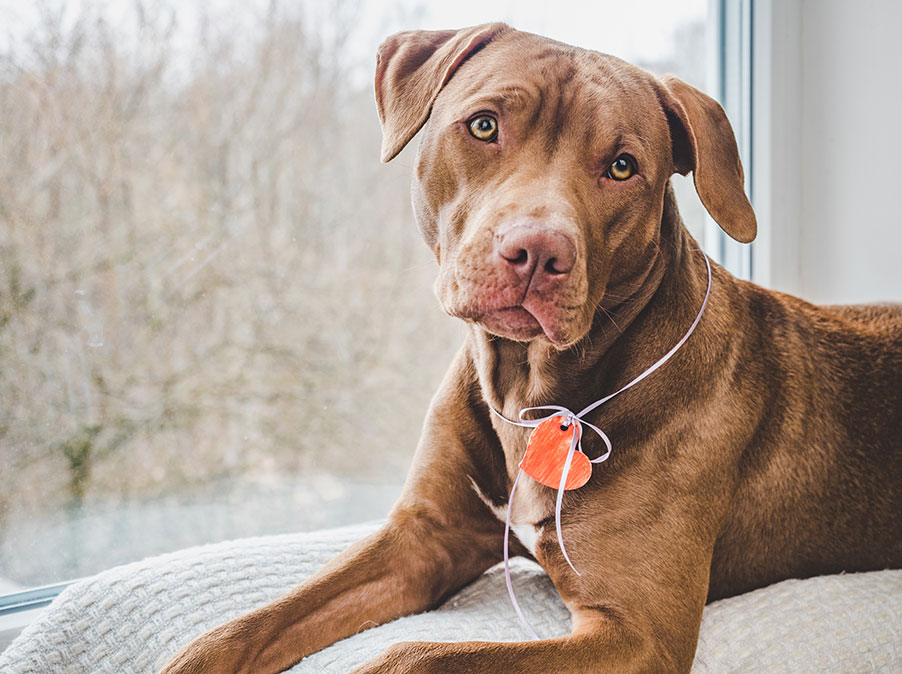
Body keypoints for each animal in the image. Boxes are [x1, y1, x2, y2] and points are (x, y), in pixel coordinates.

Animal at [162, 22, 902, 672]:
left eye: (623, 167)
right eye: (484, 125)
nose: (538, 252)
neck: (532, 390)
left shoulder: (636, 633)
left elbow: (416, 655)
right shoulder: (423, 538)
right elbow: (244, 629)